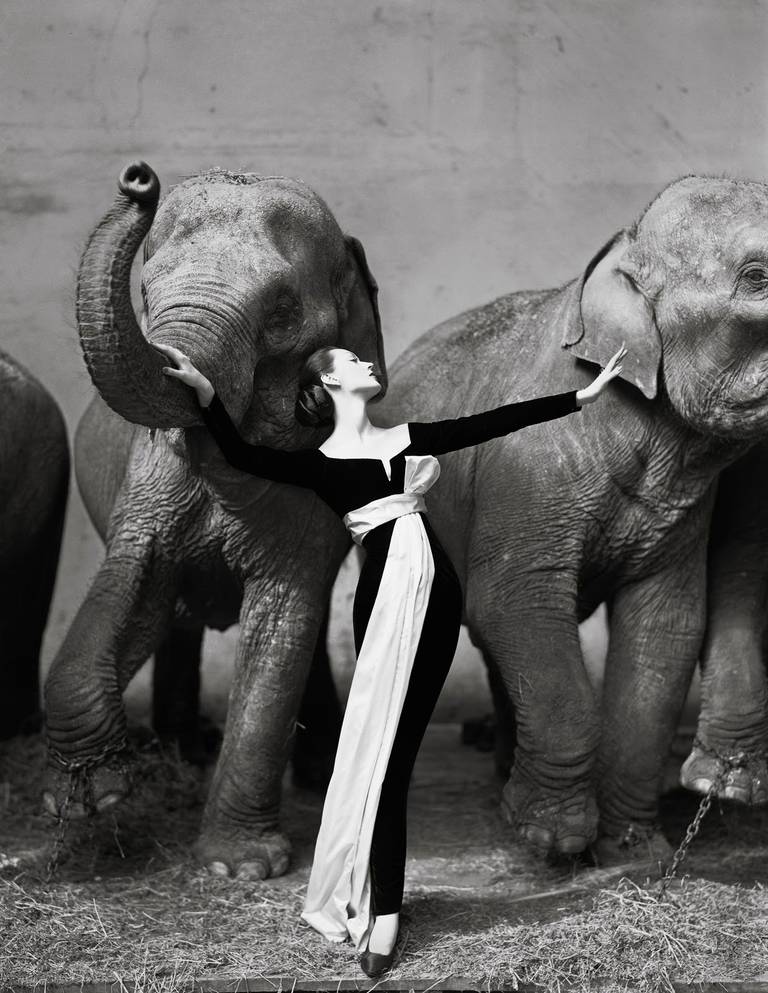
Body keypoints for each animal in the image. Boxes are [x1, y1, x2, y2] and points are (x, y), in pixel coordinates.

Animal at [41, 161, 384, 876]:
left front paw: (236, 868)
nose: (139, 179)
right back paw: (183, 752)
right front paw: (90, 799)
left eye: (281, 311)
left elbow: (284, 619)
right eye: (146, 290)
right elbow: (131, 582)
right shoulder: (147, 482)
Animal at [370, 174, 768, 856]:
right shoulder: (527, 465)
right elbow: (515, 601)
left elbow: (665, 626)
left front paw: (633, 849)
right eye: (759, 276)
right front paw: (550, 839)